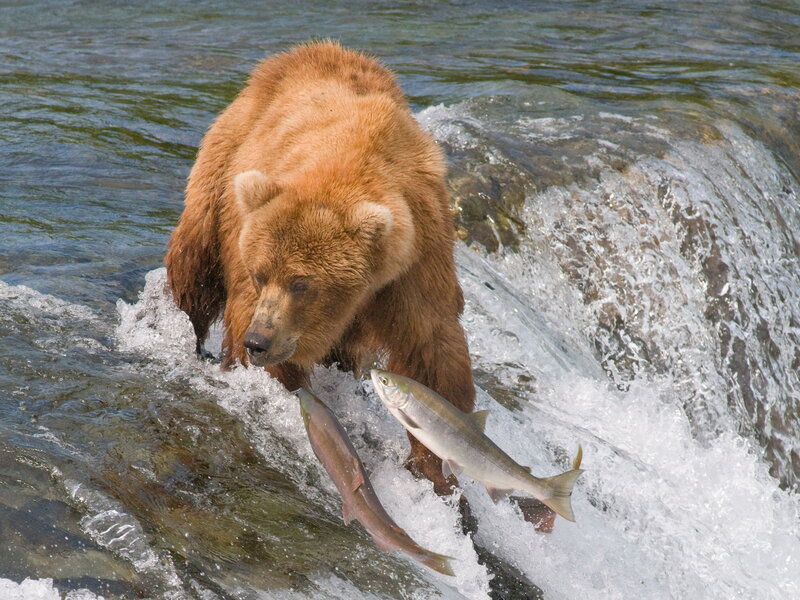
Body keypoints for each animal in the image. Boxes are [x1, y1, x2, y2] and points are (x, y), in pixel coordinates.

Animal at [165, 41, 475, 497]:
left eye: (302, 283)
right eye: (261, 274)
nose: (259, 341)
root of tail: (301, 51)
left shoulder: (415, 259)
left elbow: (431, 351)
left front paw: (435, 467)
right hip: (223, 168)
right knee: (195, 265)